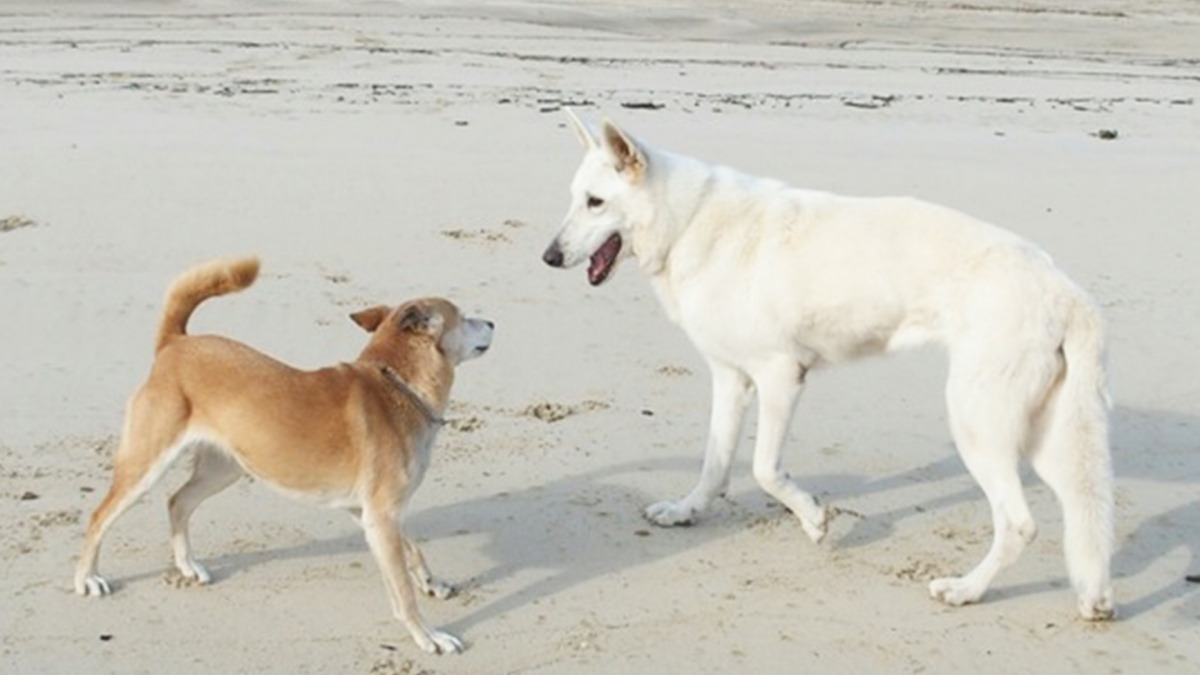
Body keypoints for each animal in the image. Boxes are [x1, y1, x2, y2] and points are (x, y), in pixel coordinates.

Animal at [73, 254, 492, 648]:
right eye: (464, 316)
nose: (492, 322)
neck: (398, 386)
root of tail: (175, 343)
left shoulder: (371, 514)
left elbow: (413, 550)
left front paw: (432, 582)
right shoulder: (381, 516)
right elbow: (403, 595)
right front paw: (429, 637)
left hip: (225, 469)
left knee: (178, 502)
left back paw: (187, 565)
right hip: (146, 465)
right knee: (100, 517)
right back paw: (87, 578)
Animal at [544, 111, 1113, 619]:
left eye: (596, 203)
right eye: (574, 198)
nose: (548, 257)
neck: (687, 222)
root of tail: (1064, 288)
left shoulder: (780, 377)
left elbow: (764, 468)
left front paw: (814, 519)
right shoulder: (730, 380)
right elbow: (714, 464)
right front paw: (687, 511)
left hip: (976, 422)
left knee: (1019, 524)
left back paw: (966, 590)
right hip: (1045, 441)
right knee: (1084, 515)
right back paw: (1094, 597)